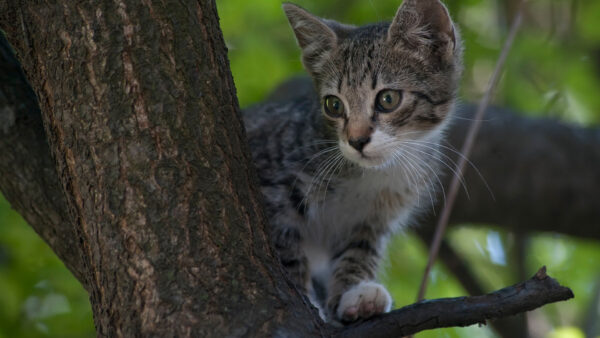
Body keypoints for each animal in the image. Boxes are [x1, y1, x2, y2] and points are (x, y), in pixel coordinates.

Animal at [241, 0, 462, 324]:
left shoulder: (373, 219)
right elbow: (288, 252)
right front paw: (309, 301)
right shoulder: (273, 192)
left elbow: (359, 252)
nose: (357, 140)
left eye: (387, 99)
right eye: (333, 105)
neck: (370, 175)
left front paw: (353, 294)